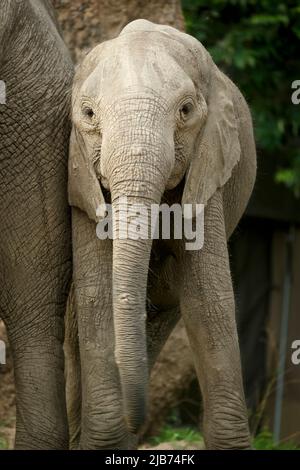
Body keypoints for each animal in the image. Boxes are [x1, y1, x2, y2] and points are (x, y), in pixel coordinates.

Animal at [69, 20, 256, 450]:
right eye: (88, 114)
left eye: (186, 111)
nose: (137, 420)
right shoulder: (80, 174)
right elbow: (96, 294)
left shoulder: (210, 164)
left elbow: (208, 299)